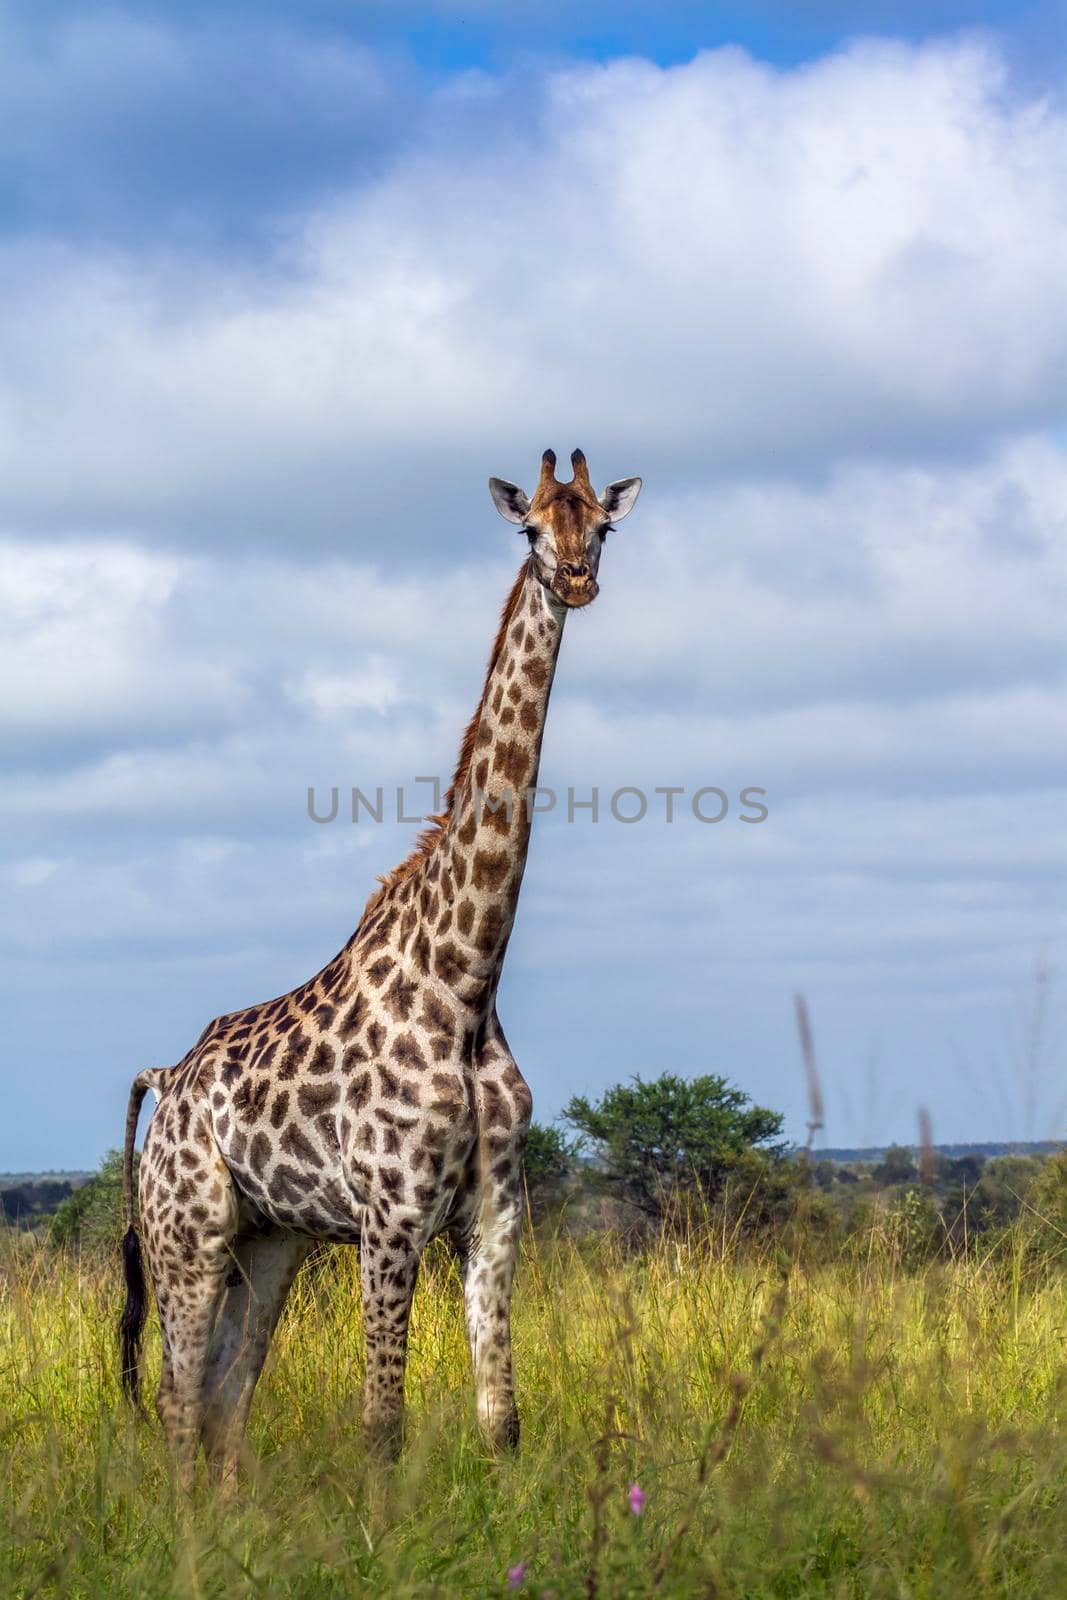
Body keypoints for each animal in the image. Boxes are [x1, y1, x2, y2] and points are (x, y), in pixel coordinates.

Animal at [120, 448, 646, 1484]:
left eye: (602, 525)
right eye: (530, 527)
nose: (574, 579)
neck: (468, 980)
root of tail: (164, 1077)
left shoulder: (496, 1214)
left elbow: (501, 1418)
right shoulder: (390, 1213)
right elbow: (382, 1422)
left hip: (268, 1240)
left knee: (227, 1394)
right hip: (185, 1233)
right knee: (176, 1400)